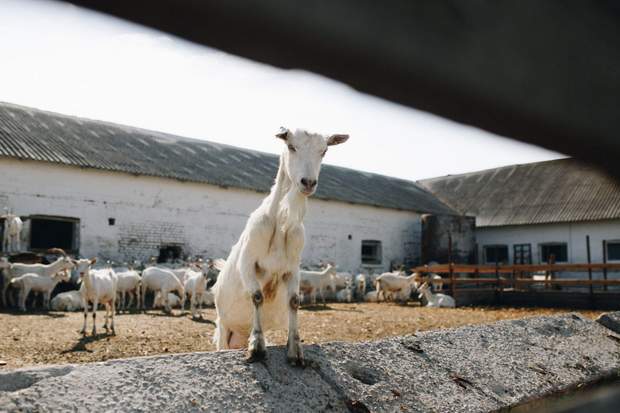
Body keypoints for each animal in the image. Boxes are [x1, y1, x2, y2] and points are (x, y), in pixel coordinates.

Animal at [213, 128, 348, 364]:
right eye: (291, 146)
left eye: (324, 151)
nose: (308, 182)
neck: (282, 220)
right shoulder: (248, 262)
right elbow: (257, 296)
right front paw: (257, 347)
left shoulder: (292, 268)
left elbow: (294, 301)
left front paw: (295, 350)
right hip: (223, 325)